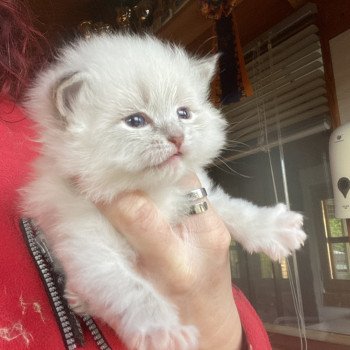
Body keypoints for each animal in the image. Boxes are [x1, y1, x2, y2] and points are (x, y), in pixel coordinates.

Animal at [22, 33, 306, 350]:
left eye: (183, 113)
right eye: (136, 121)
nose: (178, 137)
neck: (152, 192)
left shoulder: (194, 191)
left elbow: (235, 210)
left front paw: (275, 228)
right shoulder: (91, 252)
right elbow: (133, 292)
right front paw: (163, 331)